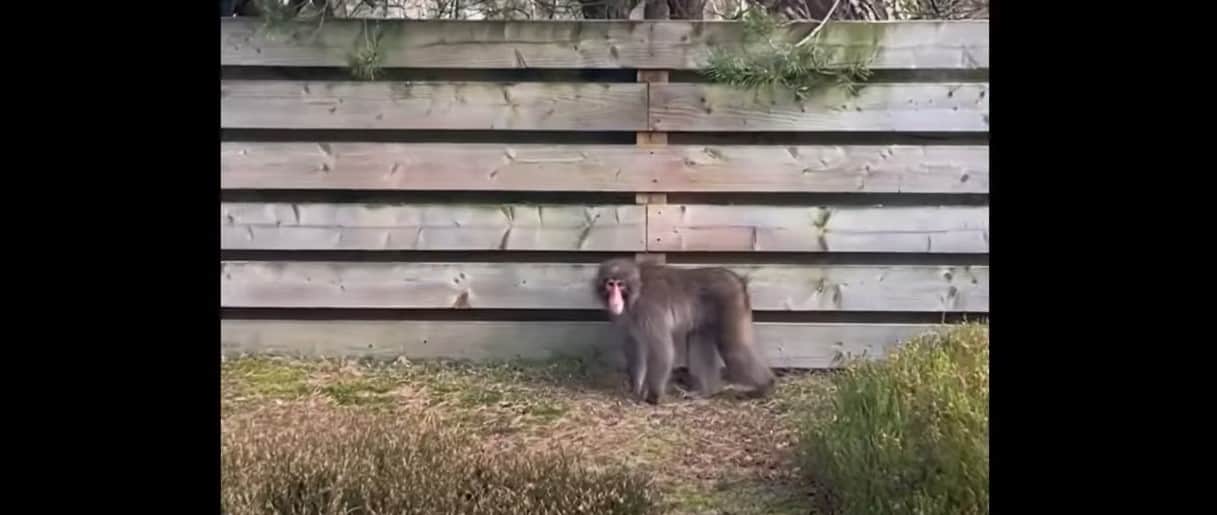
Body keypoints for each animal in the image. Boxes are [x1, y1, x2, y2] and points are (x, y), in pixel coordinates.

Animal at [593, 258, 776, 405]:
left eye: (620, 285)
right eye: (610, 284)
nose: (614, 300)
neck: (636, 291)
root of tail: (737, 280)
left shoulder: (649, 310)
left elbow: (662, 350)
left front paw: (653, 396)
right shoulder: (630, 319)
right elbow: (635, 346)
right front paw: (636, 388)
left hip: (731, 304)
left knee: (735, 349)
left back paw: (766, 386)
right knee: (697, 338)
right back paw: (706, 392)